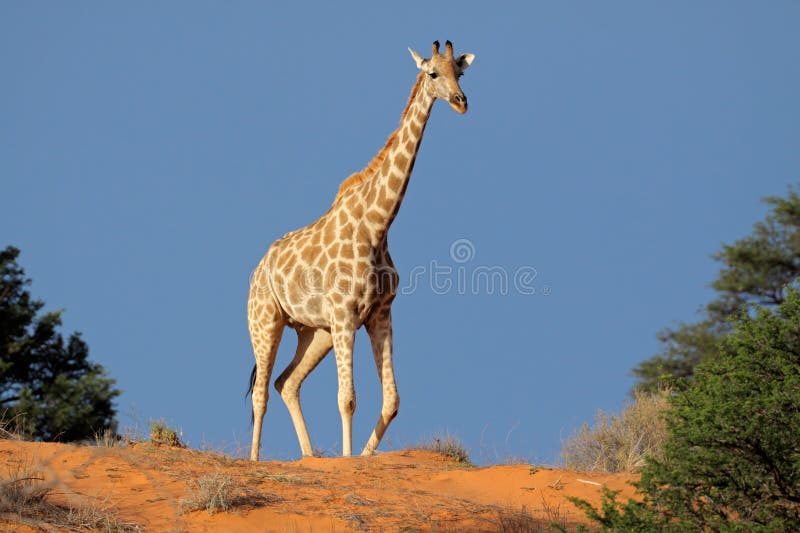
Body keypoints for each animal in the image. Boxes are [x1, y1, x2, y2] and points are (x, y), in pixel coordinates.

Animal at [247, 39, 476, 460]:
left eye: (461, 73)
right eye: (433, 73)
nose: (460, 101)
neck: (377, 225)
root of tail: (257, 269)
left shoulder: (378, 314)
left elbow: (391, 401)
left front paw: (364, 457)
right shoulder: (344, 313)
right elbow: (347, 398)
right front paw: (348, 459)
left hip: (314, 332)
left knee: (286, 382)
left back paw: (309, 457)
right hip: (265, 320)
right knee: (260, 393)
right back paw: (253, 461)